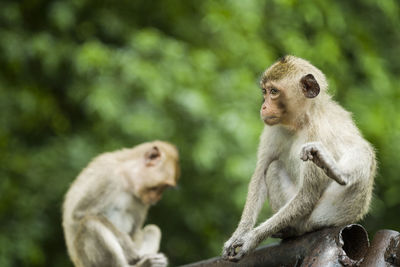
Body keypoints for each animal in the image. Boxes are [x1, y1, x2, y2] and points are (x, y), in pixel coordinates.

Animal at [222, 55, 376, 262]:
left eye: (274, 91)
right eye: (265, 91)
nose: (263, 106)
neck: (302, 120)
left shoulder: (319, 132)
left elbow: (307, 194)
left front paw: (251, 239)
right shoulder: (274, 127)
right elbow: (260, 173)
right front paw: (240, 234)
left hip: (330, 214)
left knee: (363, 152)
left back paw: (337, 172)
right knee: (273, 167)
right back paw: (288, 231)